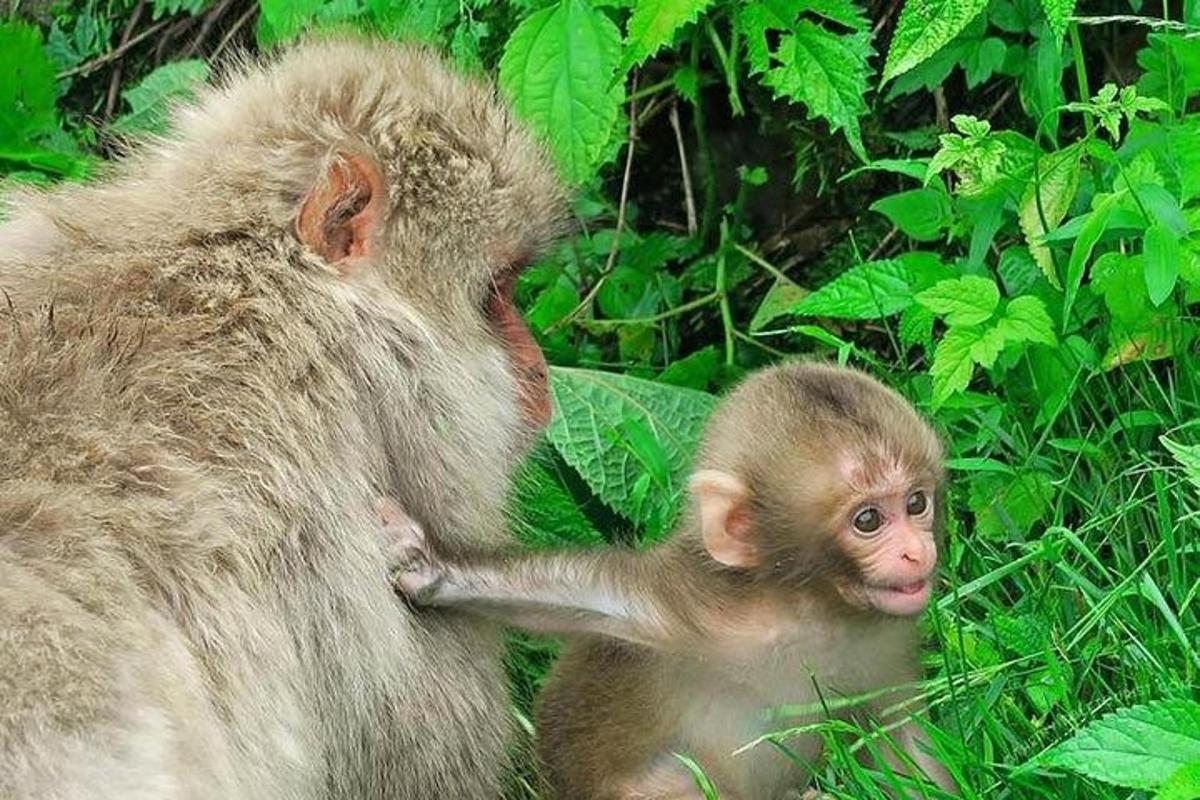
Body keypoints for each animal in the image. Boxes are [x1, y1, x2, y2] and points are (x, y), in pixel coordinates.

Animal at [393, 364, 955, 800]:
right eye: (868, 520)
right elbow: (591, 596)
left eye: (916, 503)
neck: (810, 612)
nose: (916, 550)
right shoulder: (694, 611)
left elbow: (904, 745)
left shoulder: (885, 644)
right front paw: (435, 570)